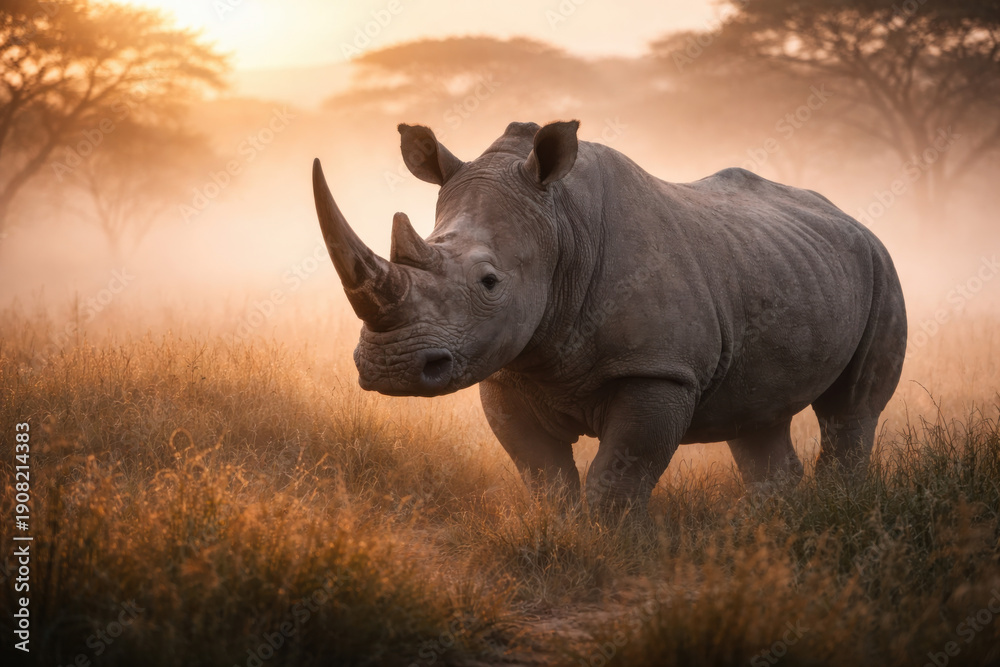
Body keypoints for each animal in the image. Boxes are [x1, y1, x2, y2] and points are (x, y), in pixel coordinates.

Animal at [311, 120, 907, 512]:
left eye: (489, 282)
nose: (391, 368)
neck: (561, 228)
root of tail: (849, 217)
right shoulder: (507, 369)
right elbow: (544, 475)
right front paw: (559, 533)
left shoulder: (659, 369)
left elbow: (616, 479)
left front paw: (601, 546)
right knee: (759, 415)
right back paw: (770, 523)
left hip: (882, 266)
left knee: (850, 412)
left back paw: (835, 508)